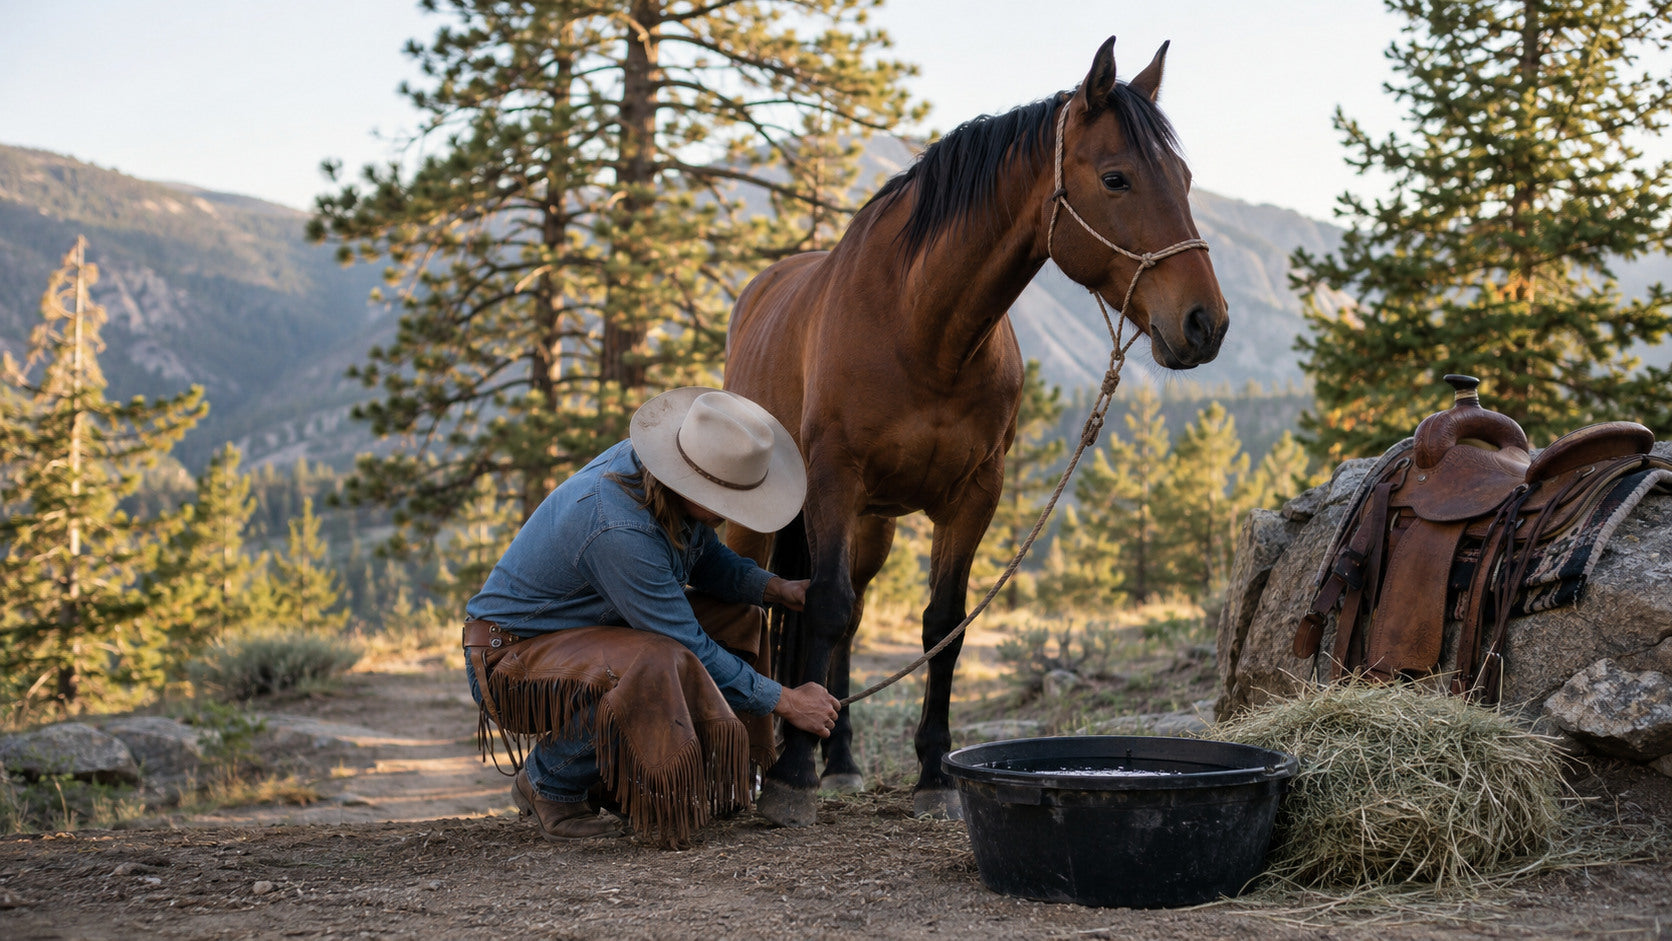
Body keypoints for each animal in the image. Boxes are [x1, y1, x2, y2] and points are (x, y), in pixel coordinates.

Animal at [722, 36, 1228, 826]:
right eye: (1116, 178)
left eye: (1182, 177)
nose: (1206, 322)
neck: (921, 330)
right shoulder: (835, 480)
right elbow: (825, 607)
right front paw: (792, 774)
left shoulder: (973, 495)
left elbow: (942, 626)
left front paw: (933, 773)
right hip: (776, 517)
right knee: (789, 604)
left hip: (875, 525)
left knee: (854, 615)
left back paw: (842, 757)